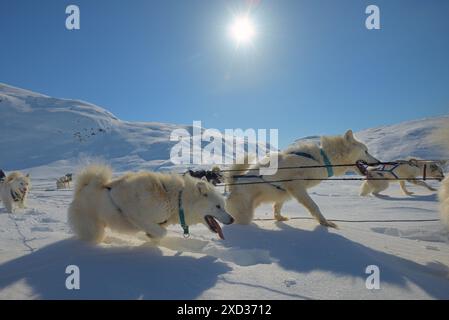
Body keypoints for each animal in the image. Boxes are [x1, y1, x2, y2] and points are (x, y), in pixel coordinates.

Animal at [68, 166, 234, 244]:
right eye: (218, 207)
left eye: (224, 206)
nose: (232, 219)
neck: (177, 200)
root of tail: (83, 188)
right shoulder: (137, 215)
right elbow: (162, 232)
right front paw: (151, 236)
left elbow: (159, 232)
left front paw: (151, 238)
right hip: (93, 230)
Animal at [224, 130, 378, 228]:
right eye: (366, 151)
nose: (378, 162)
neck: (321, 159)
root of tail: (233, 185)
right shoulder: (297, 187)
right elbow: (314, 206)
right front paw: (325, 223)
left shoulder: (286, 191)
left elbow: (277, 207)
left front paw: (279, 218)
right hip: (245, 214)